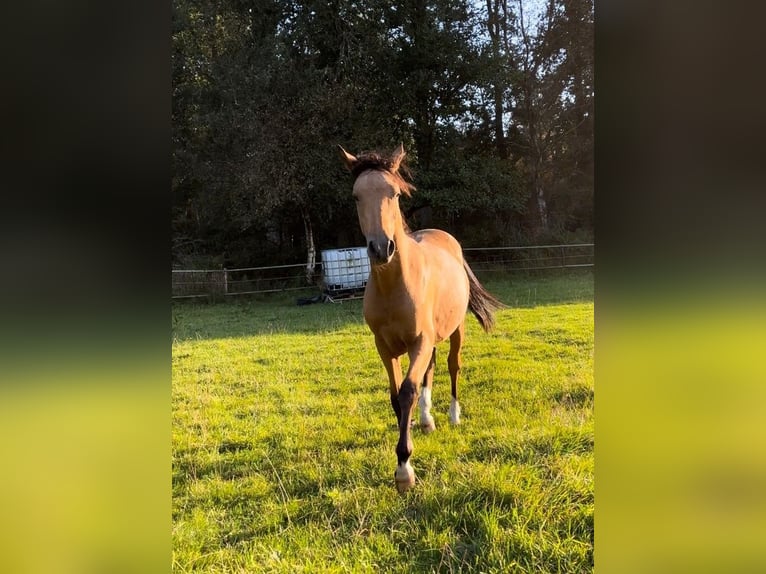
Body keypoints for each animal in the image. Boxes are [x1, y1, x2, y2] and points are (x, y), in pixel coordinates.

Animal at [338, 145, 504, 496]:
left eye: (395, 193)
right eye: (357, 196)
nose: (381, 248)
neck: (395, 284)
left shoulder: (419, 341)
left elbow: (408, 391)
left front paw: (404, 469)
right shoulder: (385, 347)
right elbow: (395, 396)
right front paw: (413, 428)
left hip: (456, 330)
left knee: (453, 366)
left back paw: (453, 416)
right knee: (432, 368)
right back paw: (427, 420)